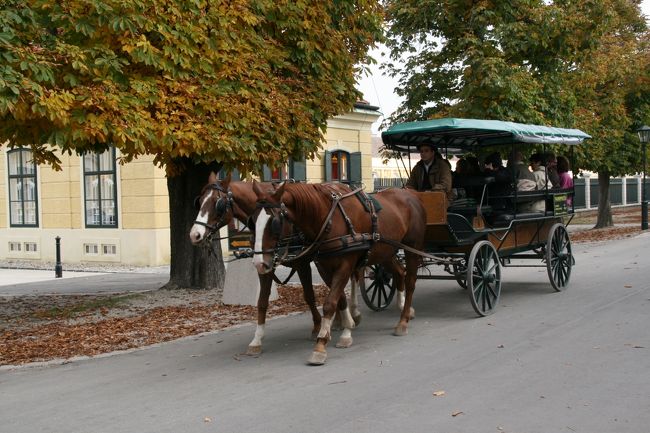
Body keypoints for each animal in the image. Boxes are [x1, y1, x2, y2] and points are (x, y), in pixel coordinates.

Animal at [187, 172, 360, 354]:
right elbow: (262, 301)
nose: (195, 234)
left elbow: (309, 295)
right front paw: (257, 340)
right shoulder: (264, 264)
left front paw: (317, 326)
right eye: (200, 201)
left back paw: (352, 314)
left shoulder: (302, 263)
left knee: (353, 278)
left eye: (218, 203)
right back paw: (339, 320)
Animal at [252, 181, 426, 362]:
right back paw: (402, 306)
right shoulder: (324, 267)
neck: (329, 218)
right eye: (253, 221)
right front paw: (346, 329)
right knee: (399, 272)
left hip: (412, 249)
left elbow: (330, 303)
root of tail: (411, 194)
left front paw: (321, 344)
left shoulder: (344, 265)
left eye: (275, 222)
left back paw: (403, 320)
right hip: (385, 251)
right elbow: (339, 298)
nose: (259, 263)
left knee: (410, 281)